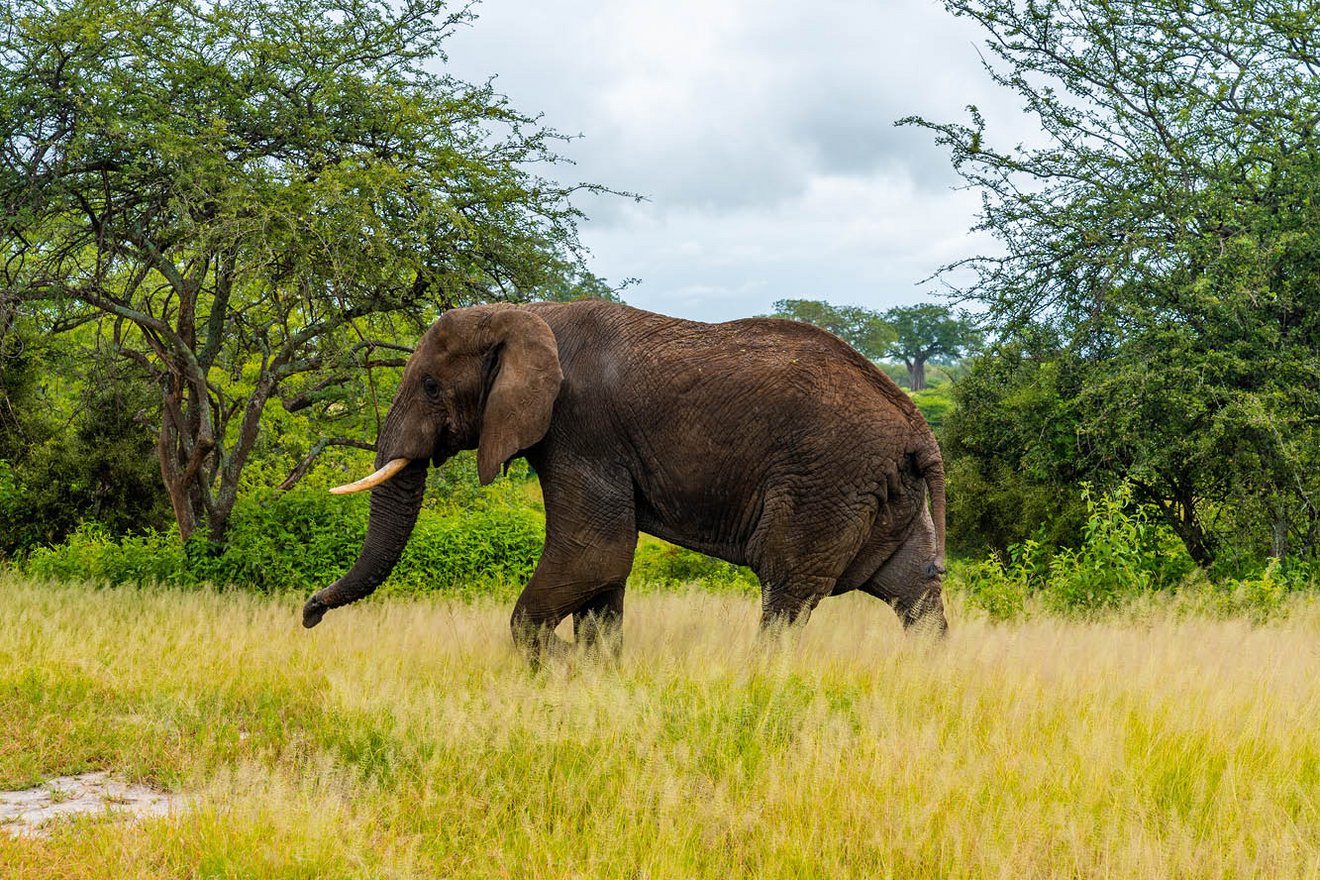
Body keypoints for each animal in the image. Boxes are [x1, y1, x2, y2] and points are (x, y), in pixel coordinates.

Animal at [303, 299, 945, 657]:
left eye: (432, 386)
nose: (309, 615)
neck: (526, 313)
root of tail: (917, 425)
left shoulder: (580, 429)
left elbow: (596, 553)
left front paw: (564, 661)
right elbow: (603, 571)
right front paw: (595, 666)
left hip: (825, 481)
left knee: (787, 591)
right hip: (881, 491)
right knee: (912, 591)